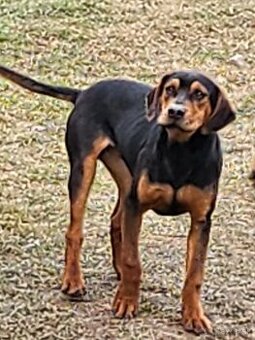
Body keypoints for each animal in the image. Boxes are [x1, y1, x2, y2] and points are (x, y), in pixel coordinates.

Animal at [0, 65, 236, 334]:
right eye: (170, 89)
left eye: (200, 95)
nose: (175, 111)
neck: (181, 151)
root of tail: (84, 92)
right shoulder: (137, 205)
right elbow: (133, 260)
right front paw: (126, 302)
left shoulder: (201, 220)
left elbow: (194, 274)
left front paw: (194, 316)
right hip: (84, 169)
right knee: (75, 231)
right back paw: (73, 281)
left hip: (125, 178)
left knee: (115, 220)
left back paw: (117, 270)